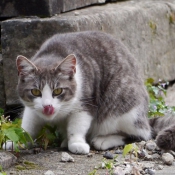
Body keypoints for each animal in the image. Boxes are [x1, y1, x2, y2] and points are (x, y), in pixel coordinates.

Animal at [5, 31, 175, 153]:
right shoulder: (32, 108)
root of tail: (145, 117)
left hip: (126, 110)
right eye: (35, 92)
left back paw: (103, 140)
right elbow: (28, 125)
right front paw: (16, 142)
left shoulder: (86, 103)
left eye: (58, 90)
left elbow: (77, 125)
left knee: (141, 134)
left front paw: (76, 143)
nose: (48, 107)